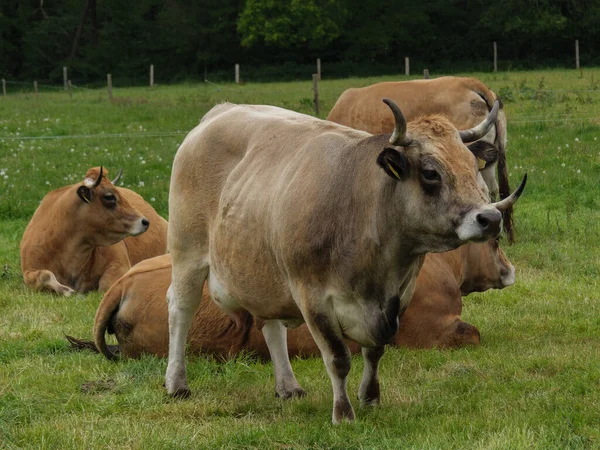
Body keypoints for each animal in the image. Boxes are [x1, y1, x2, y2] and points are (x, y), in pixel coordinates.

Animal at [20, 165, 169, 296]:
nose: (145, 222)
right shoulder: (28, 271)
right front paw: (66, 290)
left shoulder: (119, 265)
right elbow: (44, 275)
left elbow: (105, 286)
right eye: (109, 197)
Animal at [164, 100, 524, 424]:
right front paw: (343, 414)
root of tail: (221, 111)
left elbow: (375, 350)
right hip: (187, 254)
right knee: (180, 310)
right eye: (430, 172)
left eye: (473, 165)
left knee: (271, 324)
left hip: (261, 271)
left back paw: (288, 386)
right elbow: (338, 358)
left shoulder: (398, 297)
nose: (490, 218)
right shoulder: (313, 299)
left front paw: (371, 398)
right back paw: (176, 383)